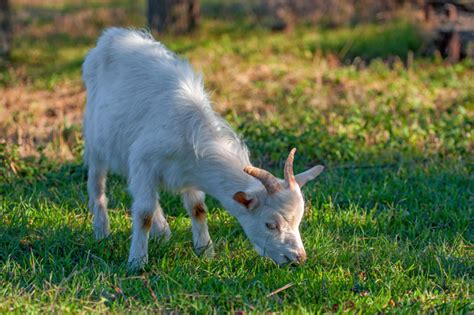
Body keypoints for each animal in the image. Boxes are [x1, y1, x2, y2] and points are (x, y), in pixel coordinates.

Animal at [83, 27, 324, 270]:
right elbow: (144, 214)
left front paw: (205, 252)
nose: (298, 258)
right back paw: (101, 230)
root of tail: (114, 35)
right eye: (270, 224)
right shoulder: (144, 164)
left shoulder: (187, 171)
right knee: (98, 185)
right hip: (95, 142)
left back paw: (163, 232)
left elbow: (197, 209)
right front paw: (137, 261)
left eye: (298, 220)